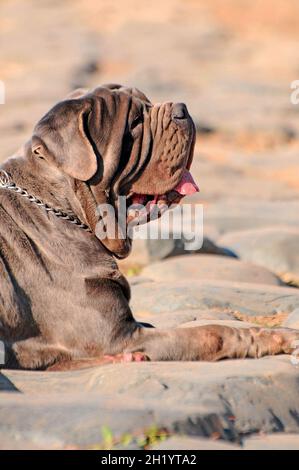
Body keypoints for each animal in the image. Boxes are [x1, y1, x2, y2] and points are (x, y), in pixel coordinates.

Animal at [0, 84, 298, 370]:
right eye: (134, 122)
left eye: (148, 103)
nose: (182, 109)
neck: (60, 207)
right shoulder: (118, 337)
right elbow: (212, 333)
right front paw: (277, 337)